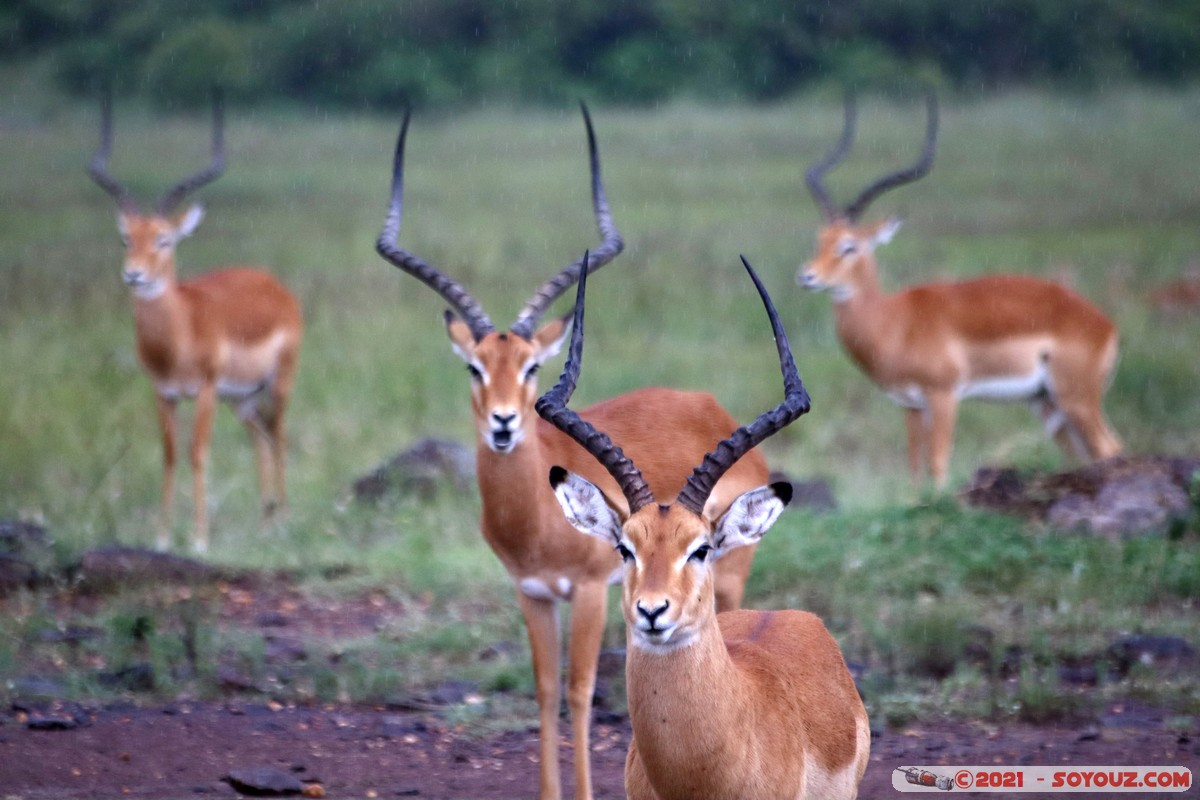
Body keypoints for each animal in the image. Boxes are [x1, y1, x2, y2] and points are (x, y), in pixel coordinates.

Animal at [88, 92, 303, 553]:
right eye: (126, 239)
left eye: (164, 239)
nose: (134, 275)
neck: (179, 335)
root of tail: (272, 283)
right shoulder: (163, 393)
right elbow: (169, 455)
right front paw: (162, 539)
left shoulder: (204, 390)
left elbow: (197, 452)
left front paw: (200, 540)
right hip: (239, 398)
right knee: (259, 436)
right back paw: (266, 525)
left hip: (276, 383)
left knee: (278, 434)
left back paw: (285, 522)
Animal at [375, 106, 767, 800]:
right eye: (475, 368)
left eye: (533, 366)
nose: (505, 422)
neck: (534, 515)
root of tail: (709, 403)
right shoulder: (531, 592)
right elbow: (544, 689)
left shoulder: (587, 591)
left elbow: (581, 691)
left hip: (731, 572)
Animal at [798, 93, 1121, 487]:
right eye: (820, 239)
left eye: (849, 246)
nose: (808, 276)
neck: (895, 321)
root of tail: (1105, 325)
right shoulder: (910, 405)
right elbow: (914, 470)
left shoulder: (944, 395)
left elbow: (938, 465)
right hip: (1047, 404)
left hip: (1076, 399)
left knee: (1111, 448)